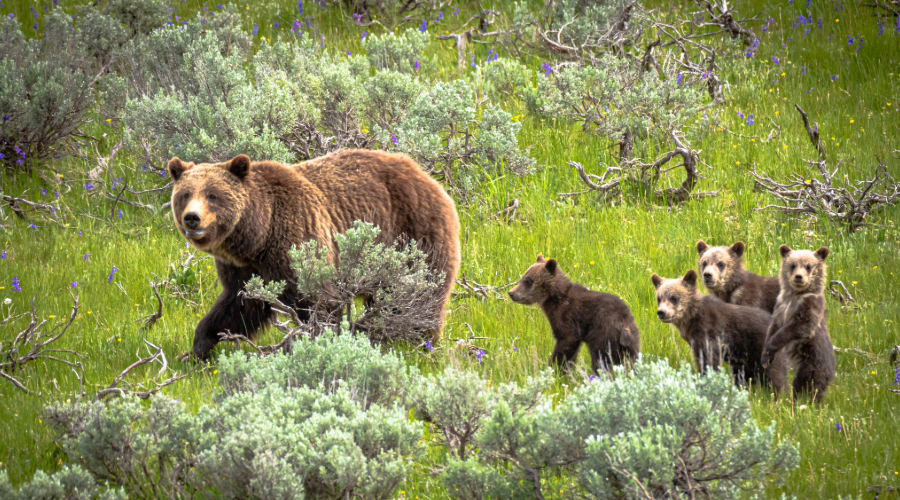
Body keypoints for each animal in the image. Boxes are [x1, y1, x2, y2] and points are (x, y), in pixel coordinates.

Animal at [169, 149, 460, 360]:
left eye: (213, 195)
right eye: (185, 194)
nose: (192, 218)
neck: (258, 236)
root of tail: (429, 178)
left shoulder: (298, 239)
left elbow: (320, 302)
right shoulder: (243, 268)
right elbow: (238, 305)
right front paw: (196, 350)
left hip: (414, 234)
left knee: (419, 293)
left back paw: (417, 341)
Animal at [510, 256, 644, 374]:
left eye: (528, 280)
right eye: (523, 277)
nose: (511, 293)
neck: (555, 298)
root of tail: (624, 324)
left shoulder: (567, 317)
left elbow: (566, 341)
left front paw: (556, 368)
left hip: (604, 332)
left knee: (600, 358)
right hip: (633, 339)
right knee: (631, 361)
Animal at [652, 270, 784, 390]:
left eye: (674, 297)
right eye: (659, 298)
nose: (661, 312)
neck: (692, 320)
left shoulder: (710, 333)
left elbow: (709, 361)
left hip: (761, 348)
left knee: (773, 374)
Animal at [764, 246, 832, 402]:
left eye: (808, 266)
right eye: (793, 265)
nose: (798, 277)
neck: (795, 296)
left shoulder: (809, 306)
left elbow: (800, 327)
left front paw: (771, 346)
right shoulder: (780, 306)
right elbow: (773, 328)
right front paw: (765, 355)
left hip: (811, 363)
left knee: (808, 386)